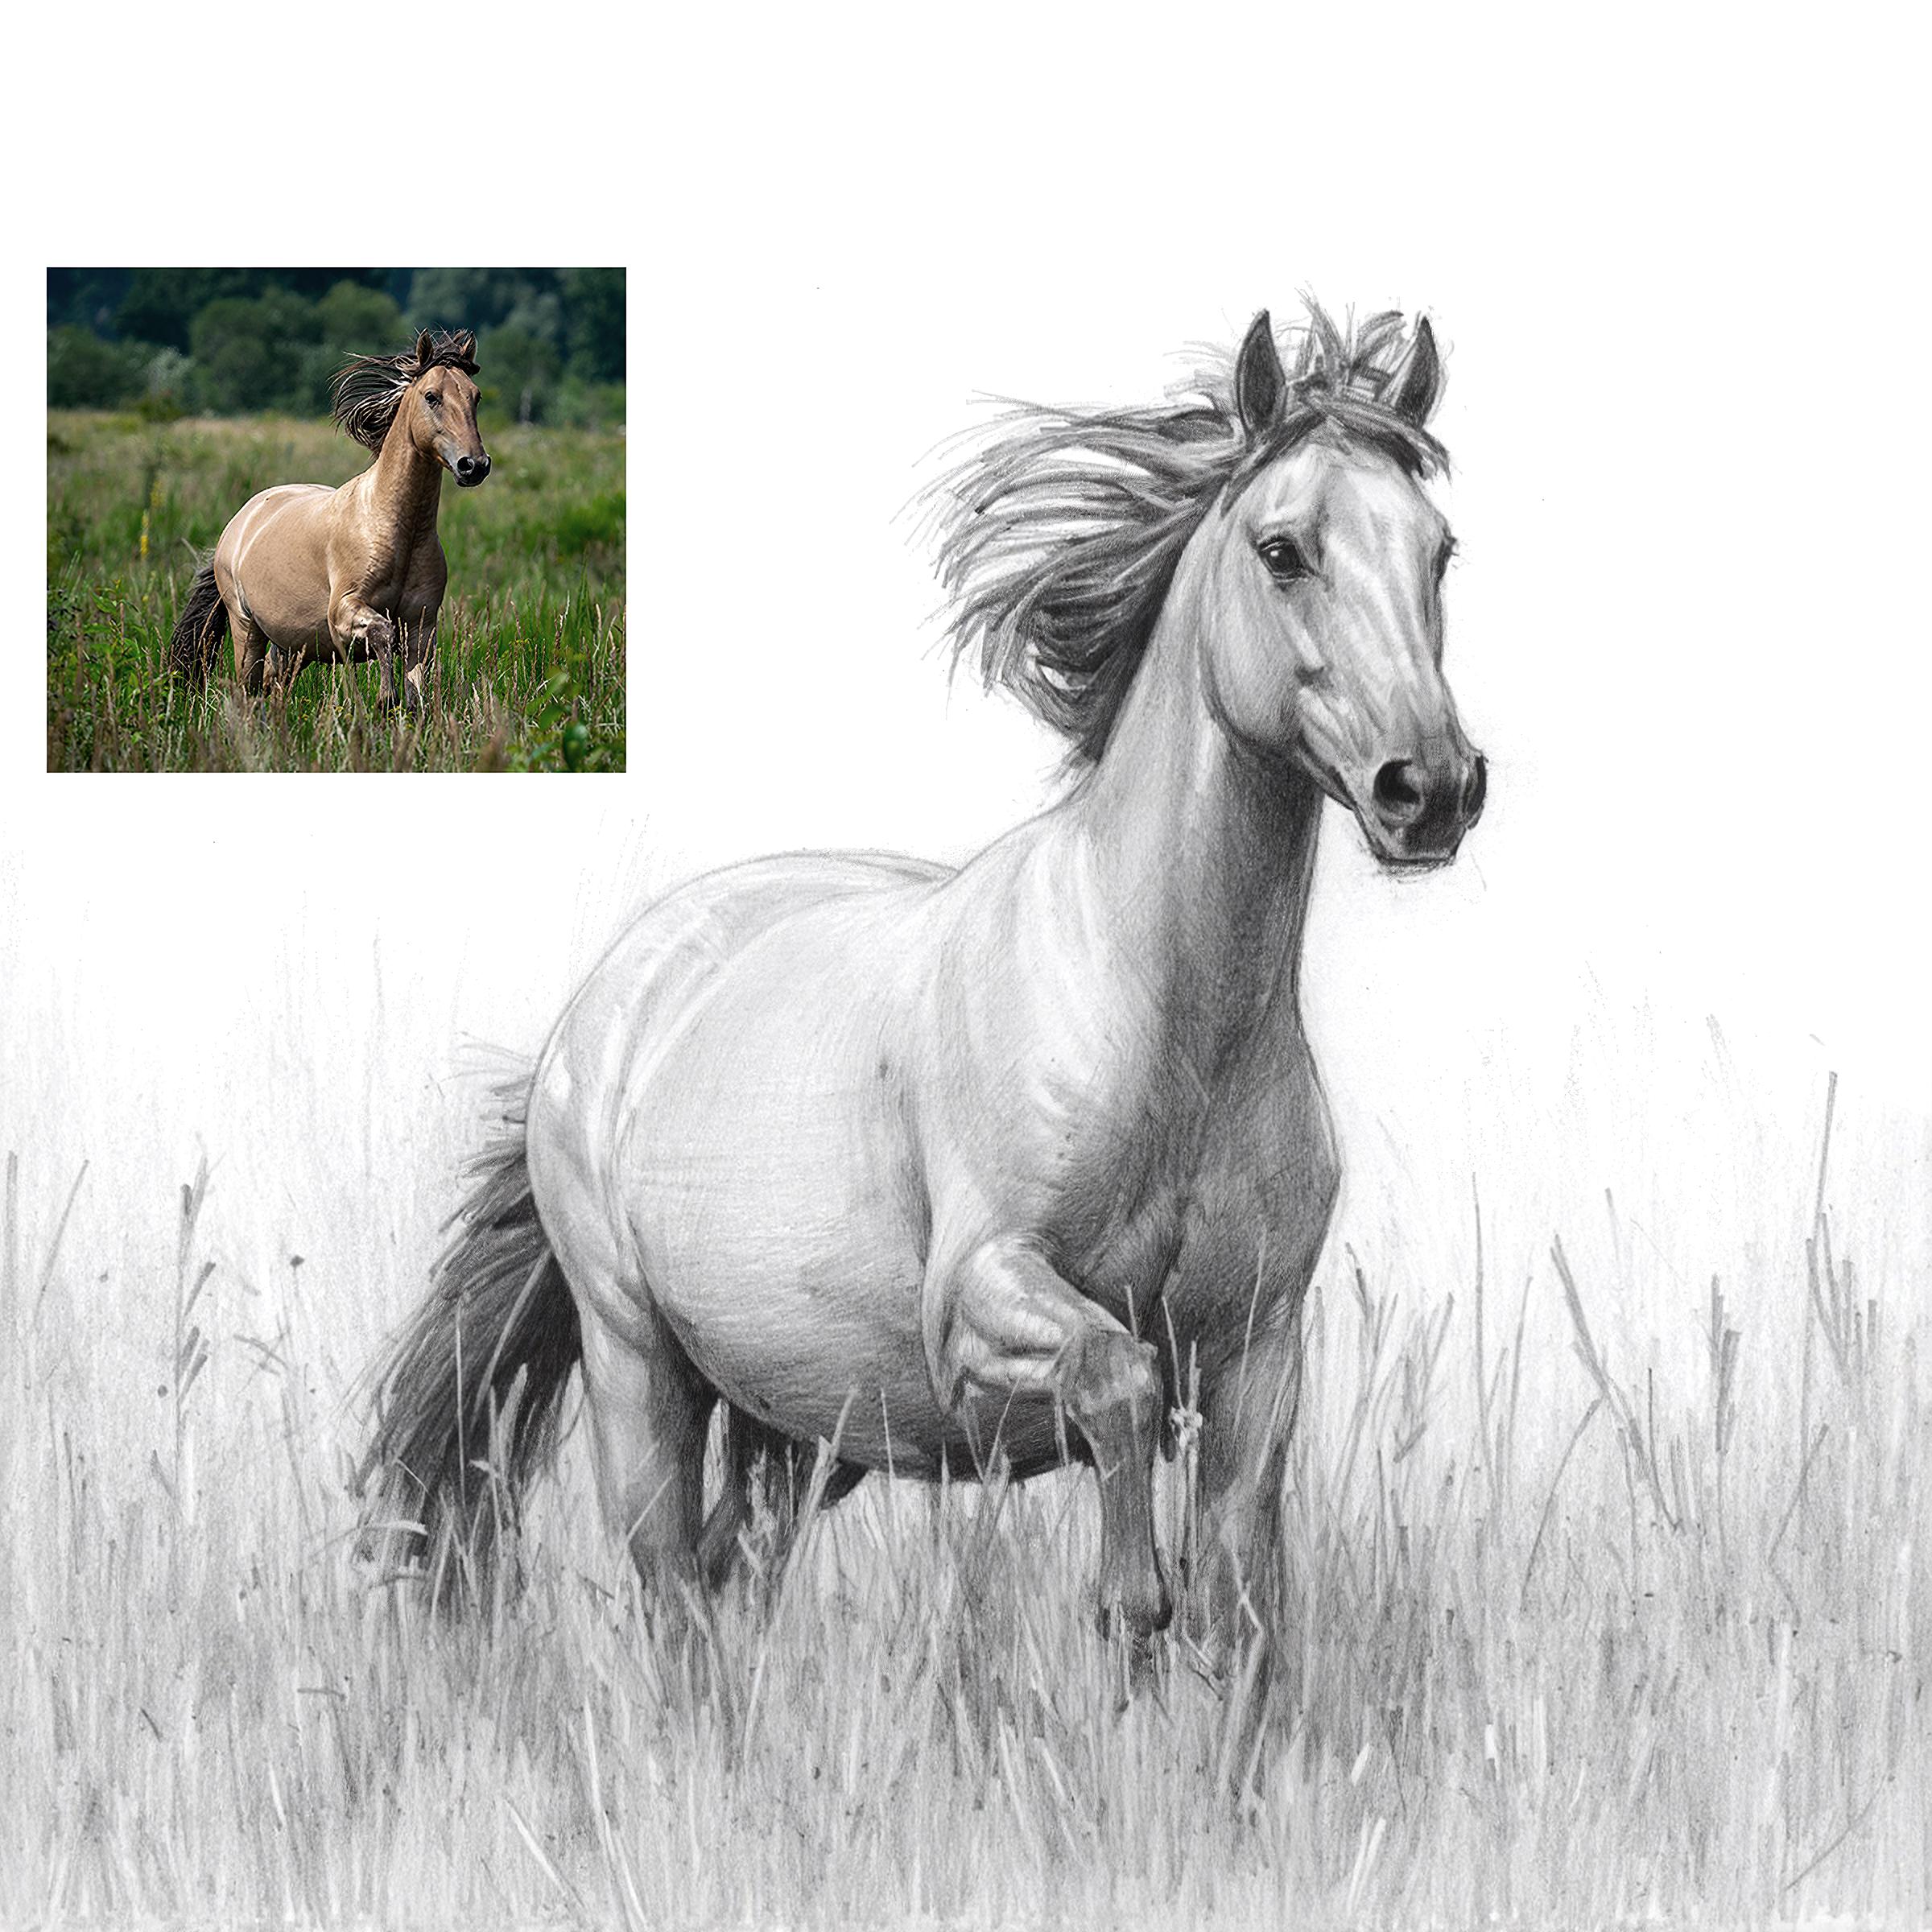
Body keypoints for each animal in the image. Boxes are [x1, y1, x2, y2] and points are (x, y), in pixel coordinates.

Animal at [168, 329, 491, 710]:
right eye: (432, 397)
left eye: (475, 396)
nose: (474, 465)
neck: (397, 529)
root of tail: (239, 523)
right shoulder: (343, 614)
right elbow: (383, 632)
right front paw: (385, 698)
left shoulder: (421, 628)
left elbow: (415, 695)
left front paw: (395, 705)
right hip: (247, 630)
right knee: (249, 689)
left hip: (293, 648)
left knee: (273, 687)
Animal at [359, 303, 1486, 1646]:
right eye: (1283, 549)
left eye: (1439, 552)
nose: (1432, 789)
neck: (1163, 1021)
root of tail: (594, 1020)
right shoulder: (986, 1306)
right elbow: (1120, 1386)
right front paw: (1127, 1594)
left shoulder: (1258, 1359)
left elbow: (1239, 1613)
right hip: (642, 1374)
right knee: (676, 1598)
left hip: (802, 1430)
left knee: (736, 1584)